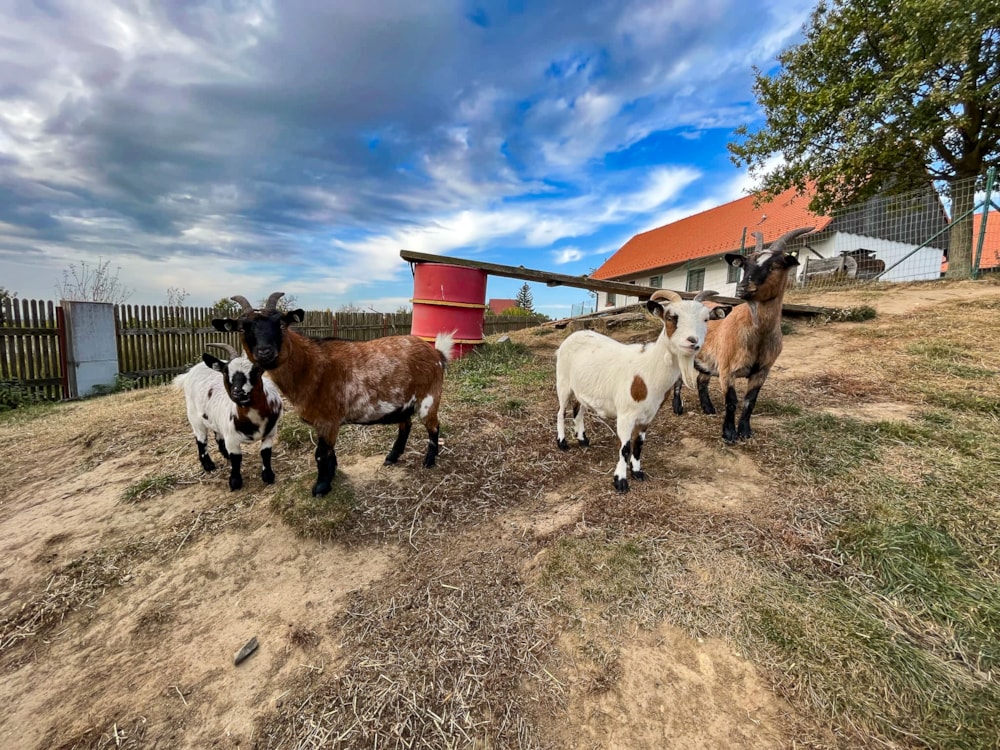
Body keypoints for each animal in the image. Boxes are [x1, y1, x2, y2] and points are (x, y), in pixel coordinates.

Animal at [173, 342, 284, 490]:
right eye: (226, 372)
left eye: (256, 371)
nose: (238, 392)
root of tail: (190, 372)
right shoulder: (231, 438)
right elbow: (236, 460)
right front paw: (235, 481)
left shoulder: (270, 433)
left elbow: (265, 454)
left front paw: (268, 476)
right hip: (194, 416)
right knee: (201, 439)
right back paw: (208, 465)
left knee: (218, 436)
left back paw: (224, 454)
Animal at [213, 292, 454, 497]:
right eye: (242, 328)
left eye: (281, 323)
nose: (265, 352)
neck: (310, 366)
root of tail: (436, 353)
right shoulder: (327, 423)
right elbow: (329, 452)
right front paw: (332, 475)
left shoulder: (328, 420)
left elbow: (320, 454)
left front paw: (321, 487)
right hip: (403, 402)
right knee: (406, 425)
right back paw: (392, 457)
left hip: (429, 398)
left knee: (434, 427)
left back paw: (429, 461)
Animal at [556, 289, 730, 493]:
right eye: (670, 317)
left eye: (706, 319)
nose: (693, 341)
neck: (648, 370)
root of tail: (575, 334)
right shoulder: (625, 415)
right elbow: (624, 448)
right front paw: (620, 481)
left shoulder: (648, 415)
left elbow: (638, 444)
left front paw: (637, 472)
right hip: (563, 382)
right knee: (561, 412)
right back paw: (562, 443)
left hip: (583, 387)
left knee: (579, 409)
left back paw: (583, 439)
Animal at [672, 226, 813, 443]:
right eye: (745, 265)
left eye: (775, 265)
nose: (742, 288)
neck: (757, 334)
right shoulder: (727, 369)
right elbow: (732, 401)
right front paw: (729, 434)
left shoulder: (761, 371)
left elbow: (750, 401)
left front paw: (745, 431)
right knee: (679, 380)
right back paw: (677, 408)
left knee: (701, 381)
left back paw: (708, 408)